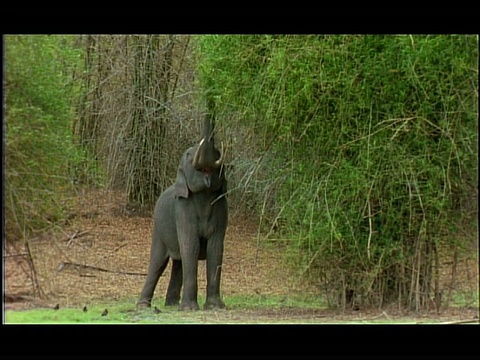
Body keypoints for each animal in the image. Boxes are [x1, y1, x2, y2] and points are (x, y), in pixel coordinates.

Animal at [137, 114, 229, 310]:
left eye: (218, 153)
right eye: (188, 155)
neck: (204, 195)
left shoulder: (222, 207)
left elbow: (215, 248)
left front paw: (215, 306)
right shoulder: (182, 209)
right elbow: (191, 245)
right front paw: (189, 309)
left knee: (177, 263)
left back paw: (171, 305)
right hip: (158, 230)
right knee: (157, 264)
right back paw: (143, 306)